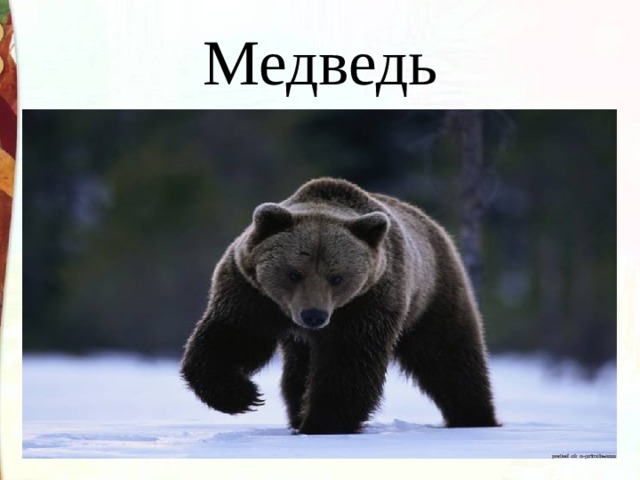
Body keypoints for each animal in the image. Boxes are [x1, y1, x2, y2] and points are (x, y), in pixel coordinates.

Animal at [180, 177, 499, 434]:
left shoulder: (367, 303)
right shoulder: (251, 294)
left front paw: (322, 423)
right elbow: (233, 337)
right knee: (297, 372)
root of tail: (432, 224)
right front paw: (243, 396)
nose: (314, 315)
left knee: (448, 355)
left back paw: (475, 416)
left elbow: (348, 361)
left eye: (337, 277)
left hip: (432, 295)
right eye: (294, 273)